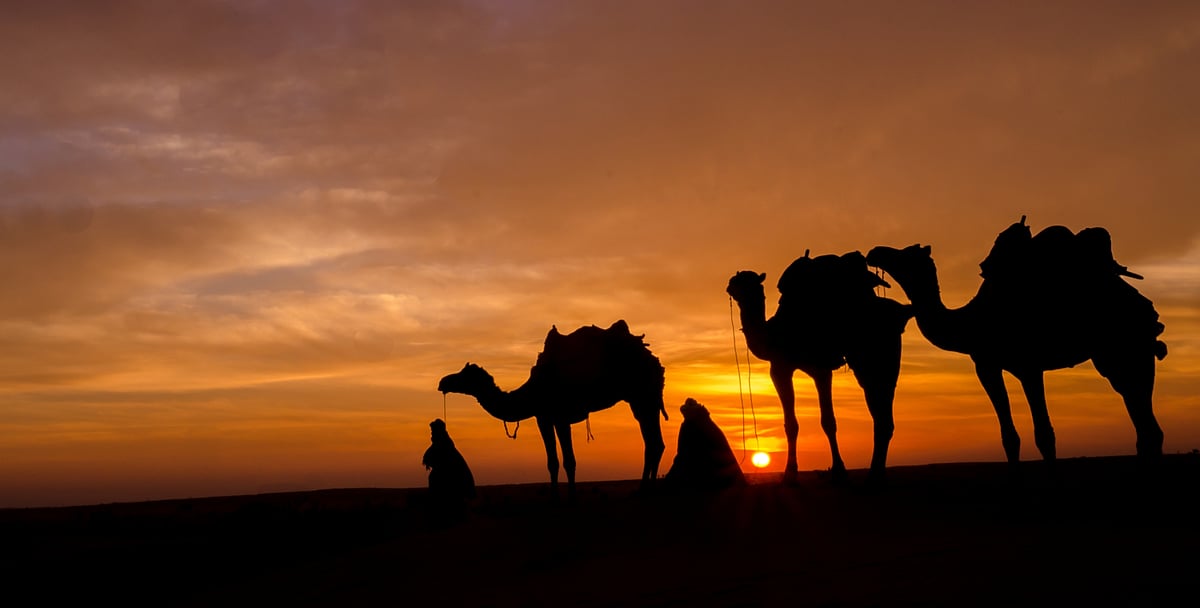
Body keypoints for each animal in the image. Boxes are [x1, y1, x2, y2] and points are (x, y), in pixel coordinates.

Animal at [438, 320, 667, 500]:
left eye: (464, 374)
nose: (443, 382)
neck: (532, 391)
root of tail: (654, 360)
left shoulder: (560, 417)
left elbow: (569, 460)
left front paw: (571, 498)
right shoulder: (544, 418)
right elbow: (553, 462)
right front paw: (555, 498)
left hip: (643, 396)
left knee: (653, 442)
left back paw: (645, 490)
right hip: (643, 400)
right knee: (654, 443)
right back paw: (646, 490)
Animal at [726, 251, 913, 485]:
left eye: (749, 283)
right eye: (738, 280)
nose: (731, 286)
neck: (776, 334)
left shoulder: (812, 368)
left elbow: (825, 422)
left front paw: (833, 471)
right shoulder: (787, 368)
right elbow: (795, 424)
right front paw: (796, 473)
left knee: (881, 412)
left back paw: (874, 475)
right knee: (882, 412)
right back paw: (876, 474)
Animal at [866, 218, 1168, 471]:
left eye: (905, 254)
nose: (875, 251)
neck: (972, 321)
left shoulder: (1029, 366)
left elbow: (1044, 435)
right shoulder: (986, 366)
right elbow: (1009, 437)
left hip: (1131, 347)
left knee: (1148, 424)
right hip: (1114, 357)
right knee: (1141, 418)